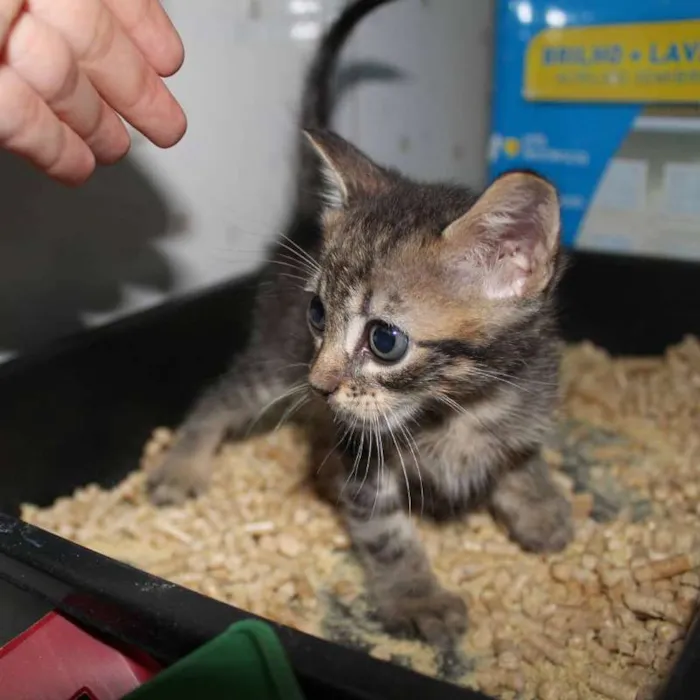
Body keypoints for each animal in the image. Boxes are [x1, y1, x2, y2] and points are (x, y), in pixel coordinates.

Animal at [145, 1, 572, 652]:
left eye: (384, 340)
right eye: (318, 314)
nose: (320, 387)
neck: (458, 404)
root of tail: (300, 221)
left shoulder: (527, 394)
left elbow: (520, 455)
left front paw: (541, 504)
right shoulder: (363, 460)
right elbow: (386, 533)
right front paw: (418, 598)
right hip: (276, 362)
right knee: (218, 396)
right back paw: (181, 466)